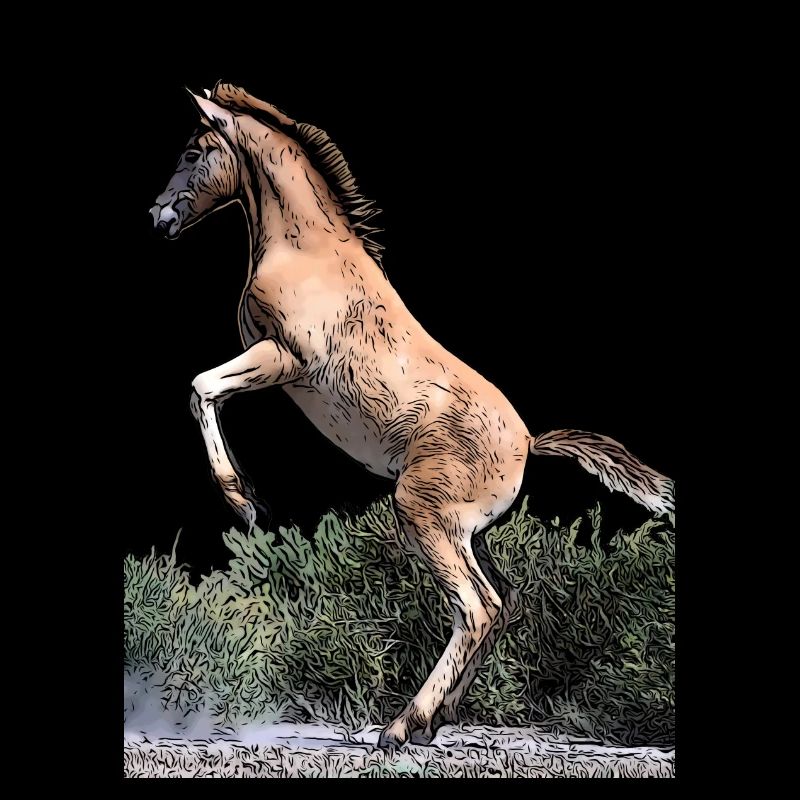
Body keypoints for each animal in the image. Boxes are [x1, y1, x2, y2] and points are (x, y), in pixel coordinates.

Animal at [150, 82, 674, 749]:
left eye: (193, 151)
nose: (158, 217)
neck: (306, 253)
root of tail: (529, 442)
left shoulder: (280, 358)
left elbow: (202, 388)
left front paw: (246, 504)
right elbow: (204, 389)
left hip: (425, 515)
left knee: (477, 607)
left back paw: (403, 726)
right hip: (467, 532)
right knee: (501, 603)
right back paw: (433, 722)